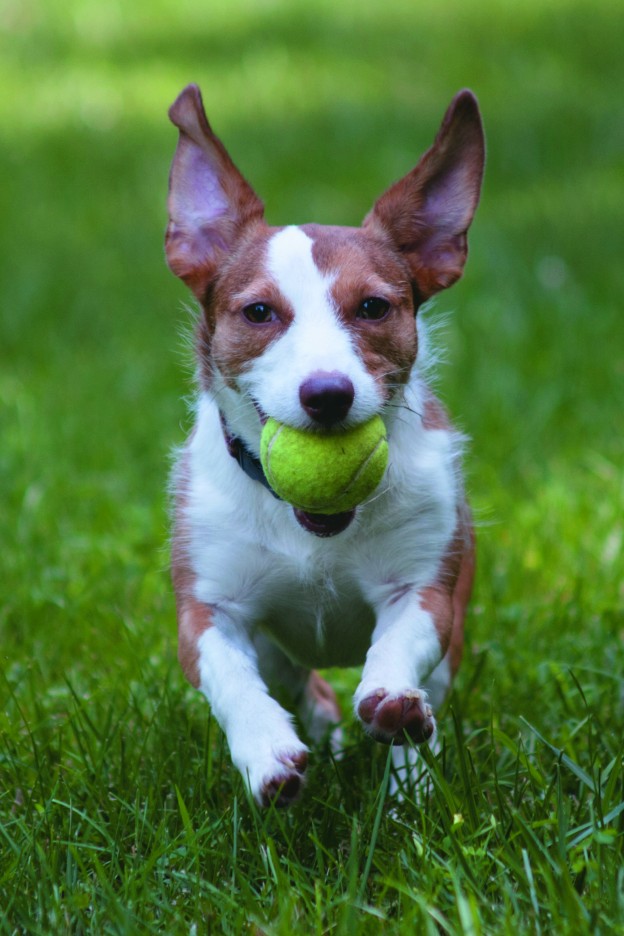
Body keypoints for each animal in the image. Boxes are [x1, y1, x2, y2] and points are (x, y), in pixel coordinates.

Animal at [165, 84, 482, 808]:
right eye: (258, 313)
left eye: (373, 308)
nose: (329, 394)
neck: (314, 531)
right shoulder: (209, 608)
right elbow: (230, 679)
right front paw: (266, 752)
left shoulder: (427, 586)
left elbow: (400, 645)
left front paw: (391, 702)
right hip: (278, 652)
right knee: (306, 692)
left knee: (422, 708)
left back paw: (408, 783)